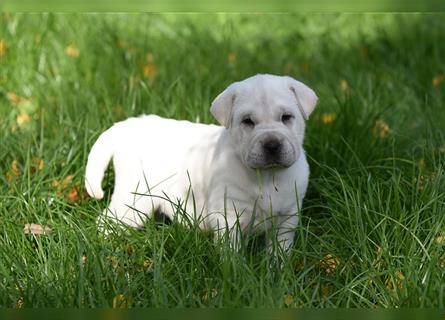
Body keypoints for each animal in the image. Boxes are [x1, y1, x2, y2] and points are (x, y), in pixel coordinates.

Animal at [86, 74, 316, 251]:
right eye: (248, 121)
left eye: (286, 117)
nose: (272, 145)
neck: (267, 177)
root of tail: (127, 126)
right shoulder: (228, 215)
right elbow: (230, 252)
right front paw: (233, 274)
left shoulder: (288, 217)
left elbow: (280, 250)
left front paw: (278, 272)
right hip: (134, 200)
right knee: (107, 220)